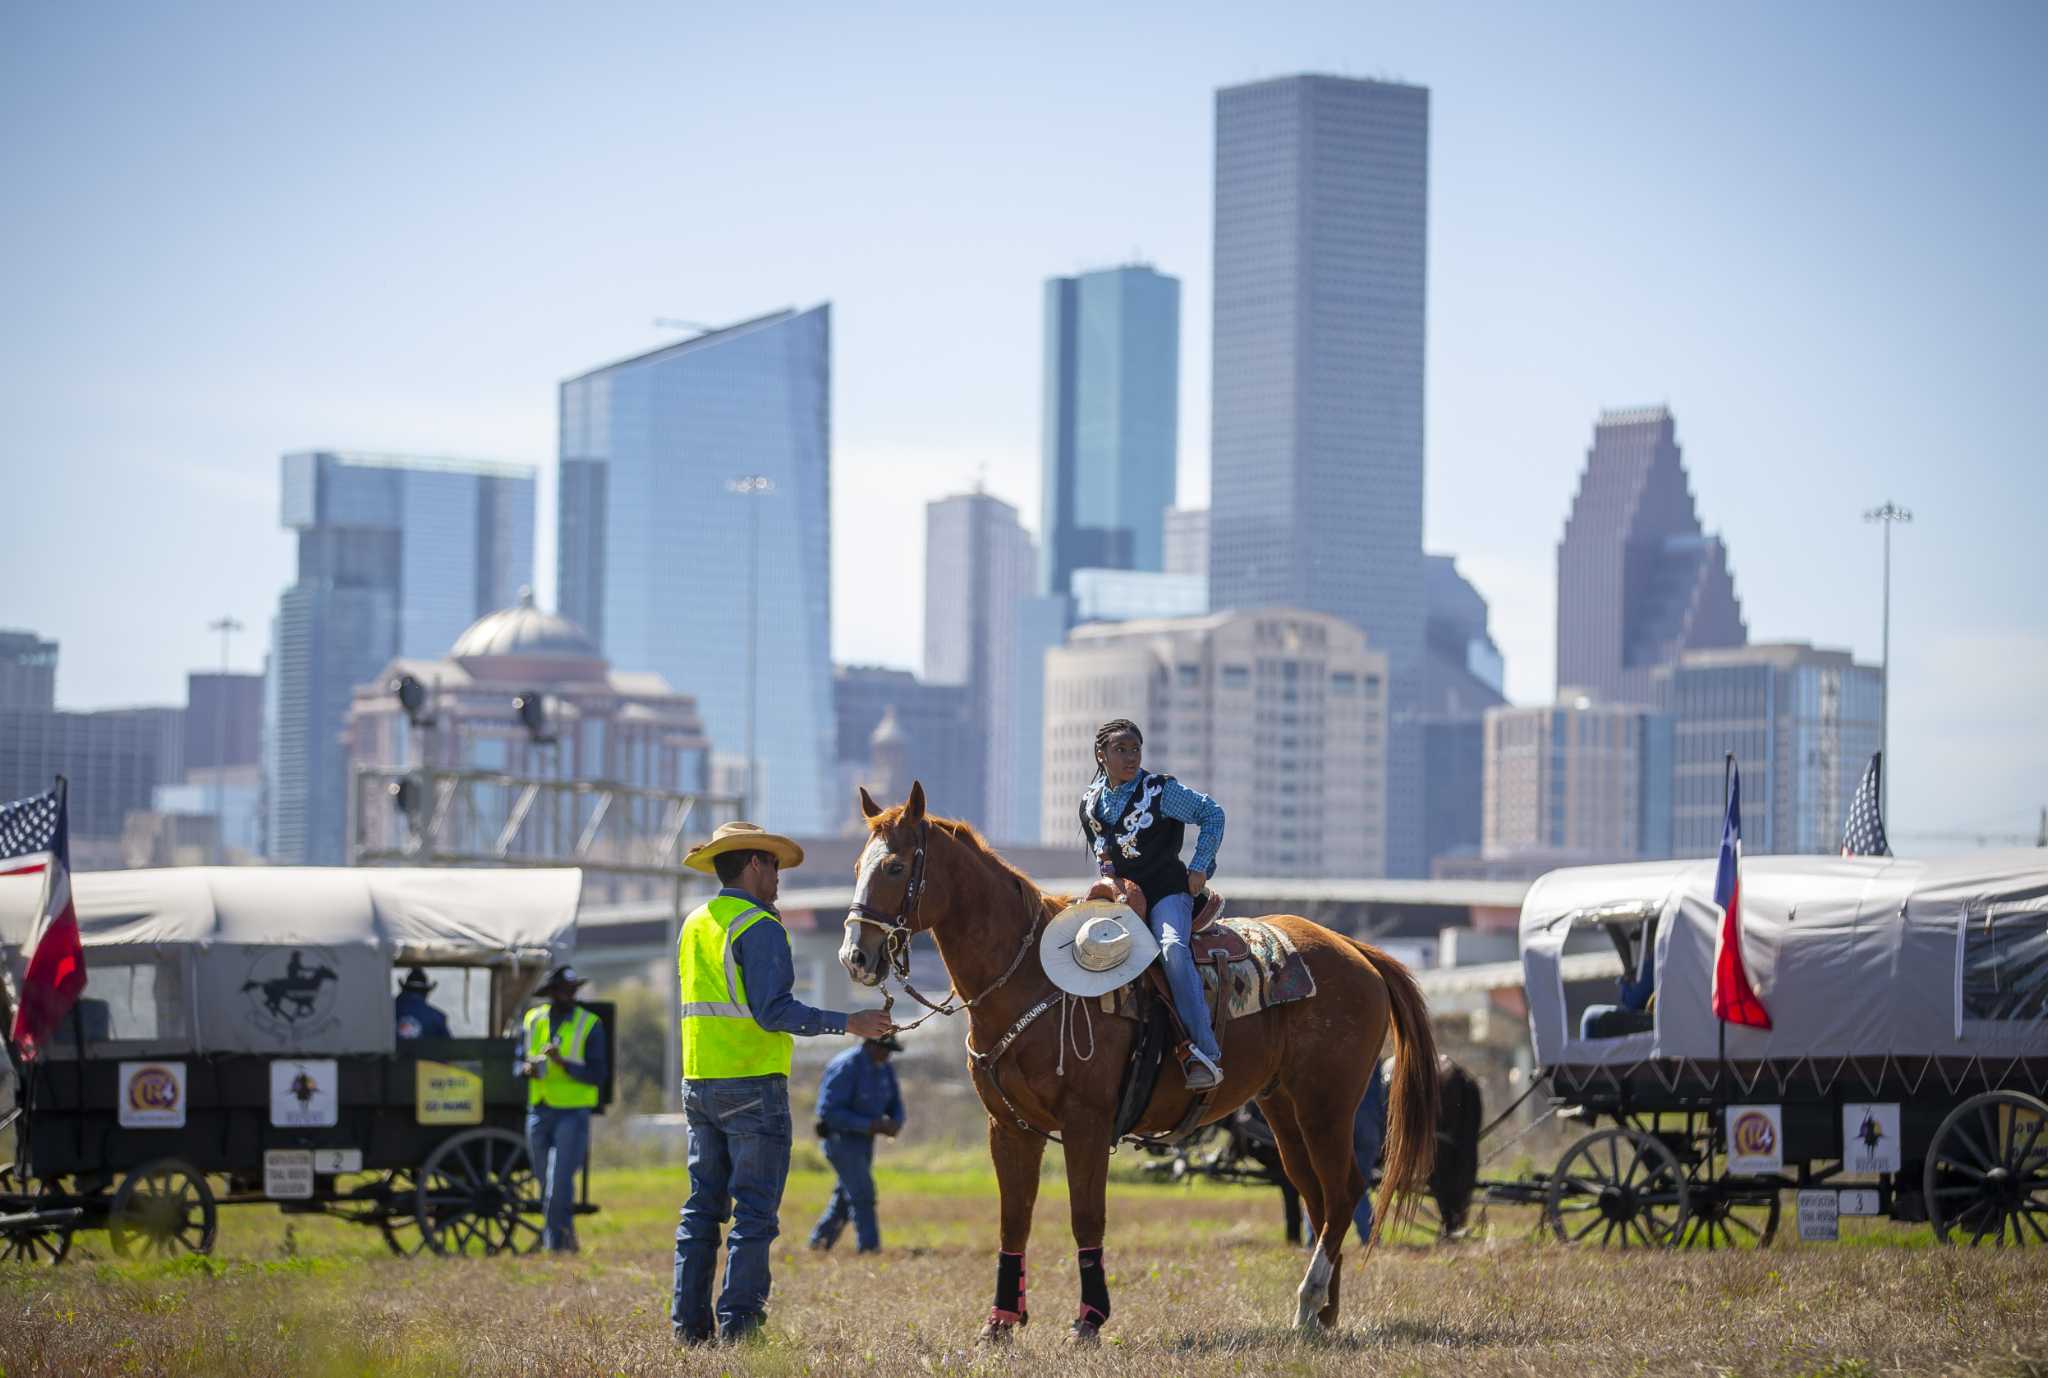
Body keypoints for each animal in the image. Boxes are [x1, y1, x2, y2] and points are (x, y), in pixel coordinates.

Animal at [831, 778, 1441, 1335]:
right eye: (857, 863)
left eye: (894, 868)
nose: (855, 957)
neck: (1030, 978)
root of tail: (1355, 950)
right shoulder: (1008, 1126)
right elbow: (1013, 1221)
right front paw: (1001, 1322)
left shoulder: (1086, 1122)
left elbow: (1086, 1216)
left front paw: (1089, 1319)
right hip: (1284, 1109)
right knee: (1317, 1197)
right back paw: (1322, 1314)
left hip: (1327, 1105)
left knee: (1343, 1192)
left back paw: (1309, 1301)